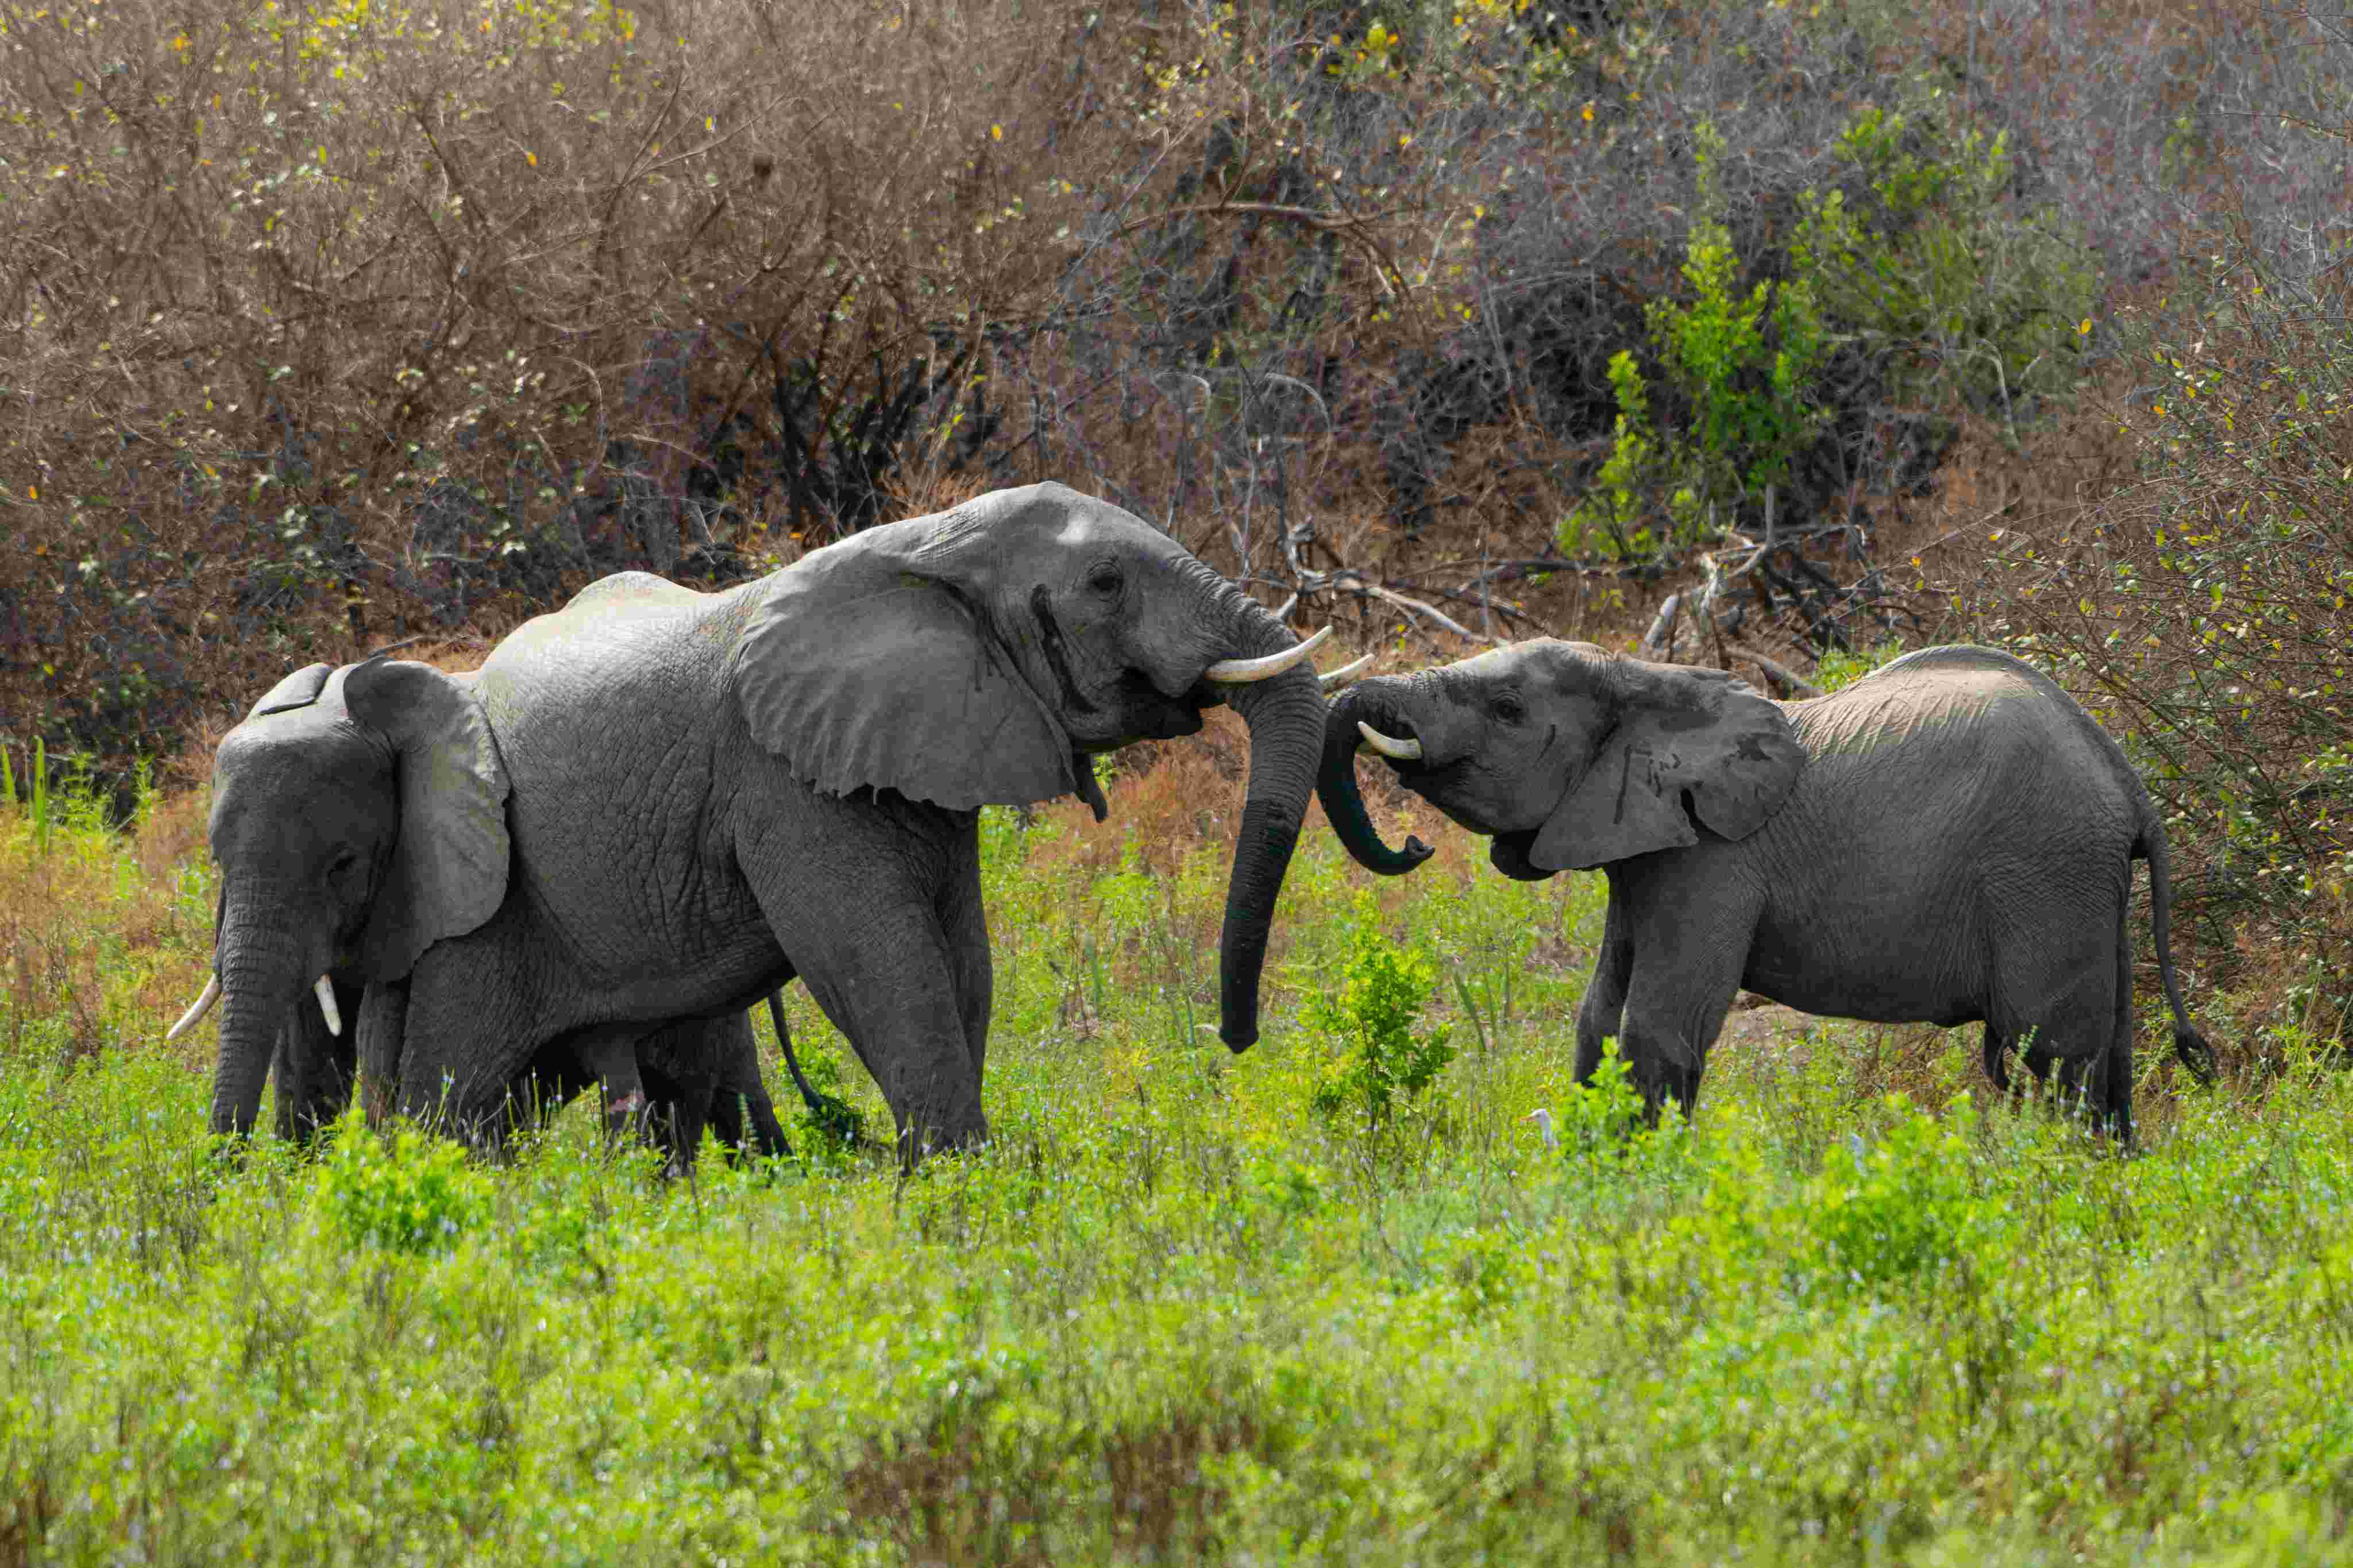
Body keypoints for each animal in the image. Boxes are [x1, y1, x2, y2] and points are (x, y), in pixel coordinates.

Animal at [379, 481, 1333, 1163]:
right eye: (1106, 582)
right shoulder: (784, 783)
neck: (930, 543)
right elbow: (883, 966)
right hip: (482, 916)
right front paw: (961, 1197)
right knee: (456, 1097)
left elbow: (965, 965)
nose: (1235, 1036)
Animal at [1319, 641, 2218, 1135]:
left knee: (2057, 1058)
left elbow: (1656, 1027)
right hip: (2085, 887)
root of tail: (2129, 785)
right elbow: (1597, 1022)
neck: (1644, 679)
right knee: (2109, 1065)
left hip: (2046, 874)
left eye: (1506, 707)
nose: (1413, 842)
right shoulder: (1644, 851)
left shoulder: (1715, 863)